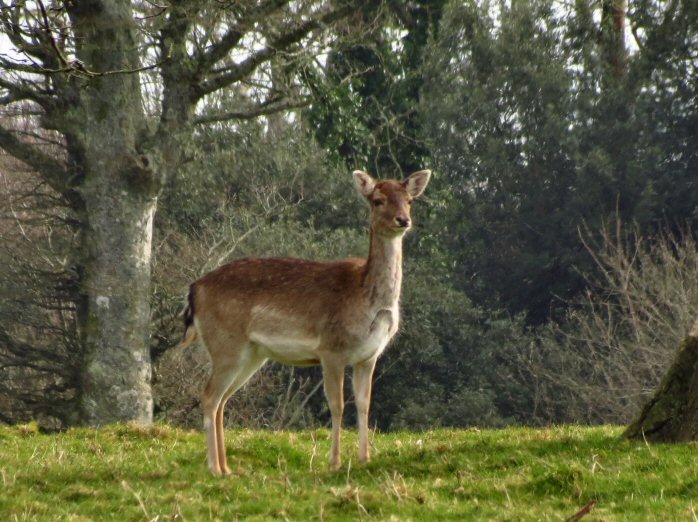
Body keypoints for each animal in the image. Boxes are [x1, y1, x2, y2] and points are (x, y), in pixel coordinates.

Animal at [179, 169, 430, 474]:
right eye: (378, 200)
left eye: (409, 200)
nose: (403, 220)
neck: (366, 300)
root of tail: (194, 290)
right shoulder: (331, 349)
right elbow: (337, 404)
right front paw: (335, 462)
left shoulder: (369, 355)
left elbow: (364, 404)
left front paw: (364, 459)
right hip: (225, 344)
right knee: (209, 395)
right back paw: (214, 468)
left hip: (251, 354)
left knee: (222, 399)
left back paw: (228, 468)